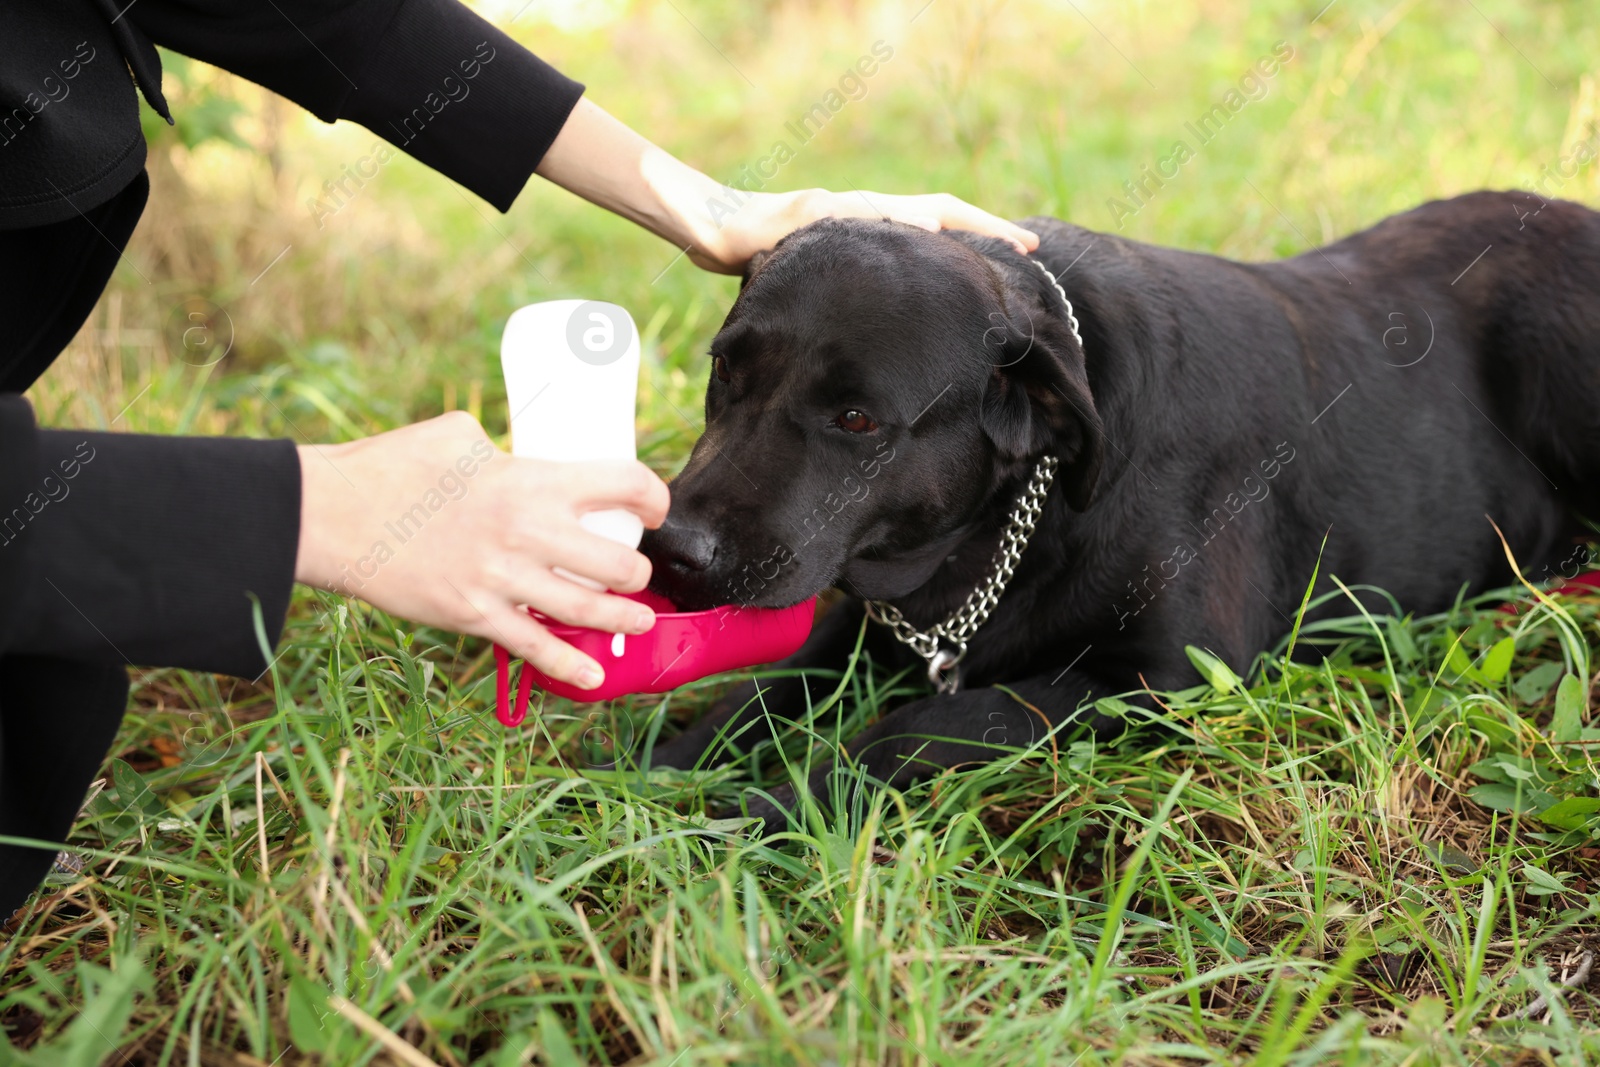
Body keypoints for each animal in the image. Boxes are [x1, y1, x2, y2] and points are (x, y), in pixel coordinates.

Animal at [636, 191, 1600, 825]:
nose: (674, 550)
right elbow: (755, 695)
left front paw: (760, 806)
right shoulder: (869, 626)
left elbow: (919, 723)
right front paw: (648, 767)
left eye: (858, 420)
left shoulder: (1168, 678)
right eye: (727, 369)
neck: (1017, 521)